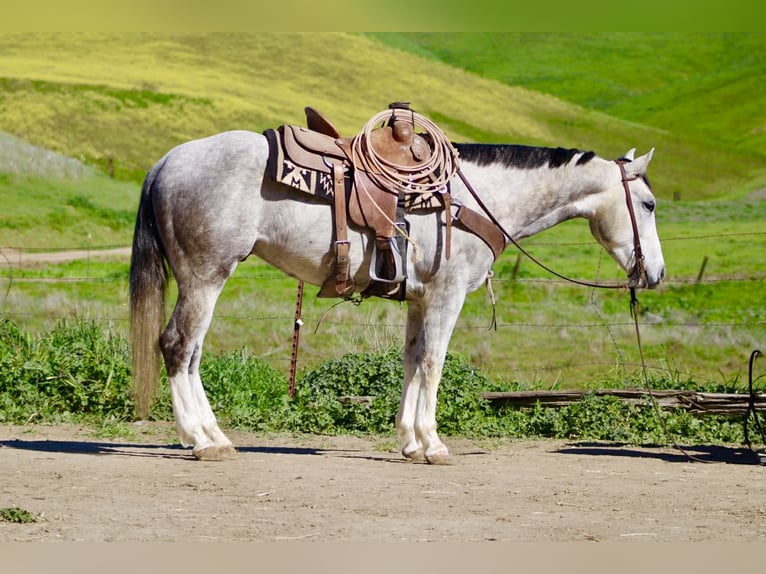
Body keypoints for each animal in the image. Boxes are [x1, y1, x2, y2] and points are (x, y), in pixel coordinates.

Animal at [129, 129, 665, 463]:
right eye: (649, 204)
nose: (656, 273)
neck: (469, 199)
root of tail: (167, 161)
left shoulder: (420, 299)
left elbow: (411, 361)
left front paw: (410, 442)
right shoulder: (447, 295)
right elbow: (433, 363)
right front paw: (433, 444)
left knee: (192, 352)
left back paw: (209, 435)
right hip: (205, 276)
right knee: (178, 346)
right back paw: (202, 441)